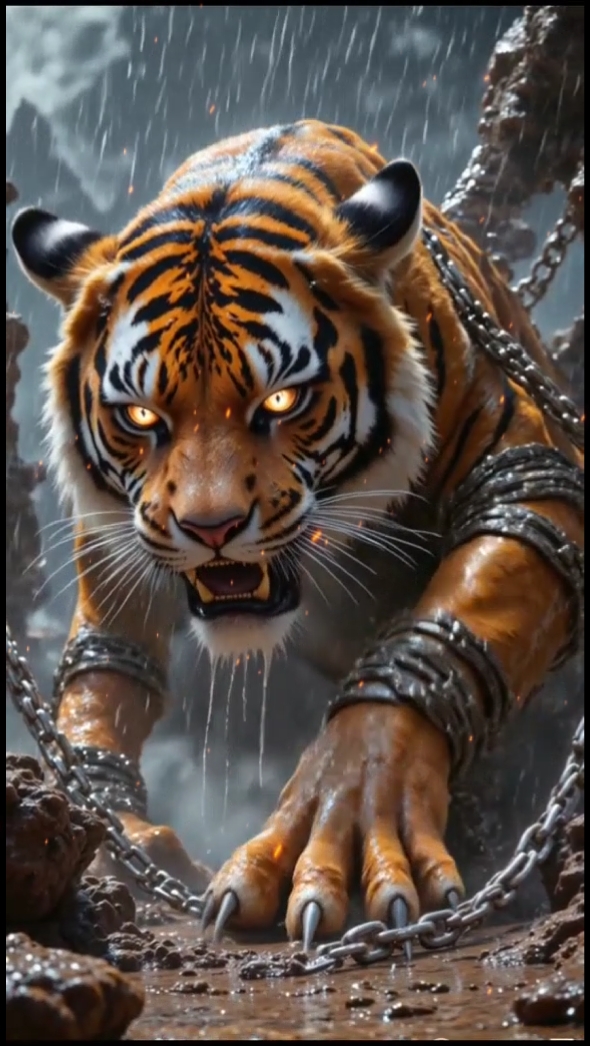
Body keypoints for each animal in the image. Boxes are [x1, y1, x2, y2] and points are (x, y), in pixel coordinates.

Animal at [11, 119, 584, 946]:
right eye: (142, 416)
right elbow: (110, 664)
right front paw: (115, 834)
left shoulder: (527, 472)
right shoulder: (119, 533)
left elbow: (444, 630)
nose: (210, 527)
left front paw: (344, 815)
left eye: (281, 401)